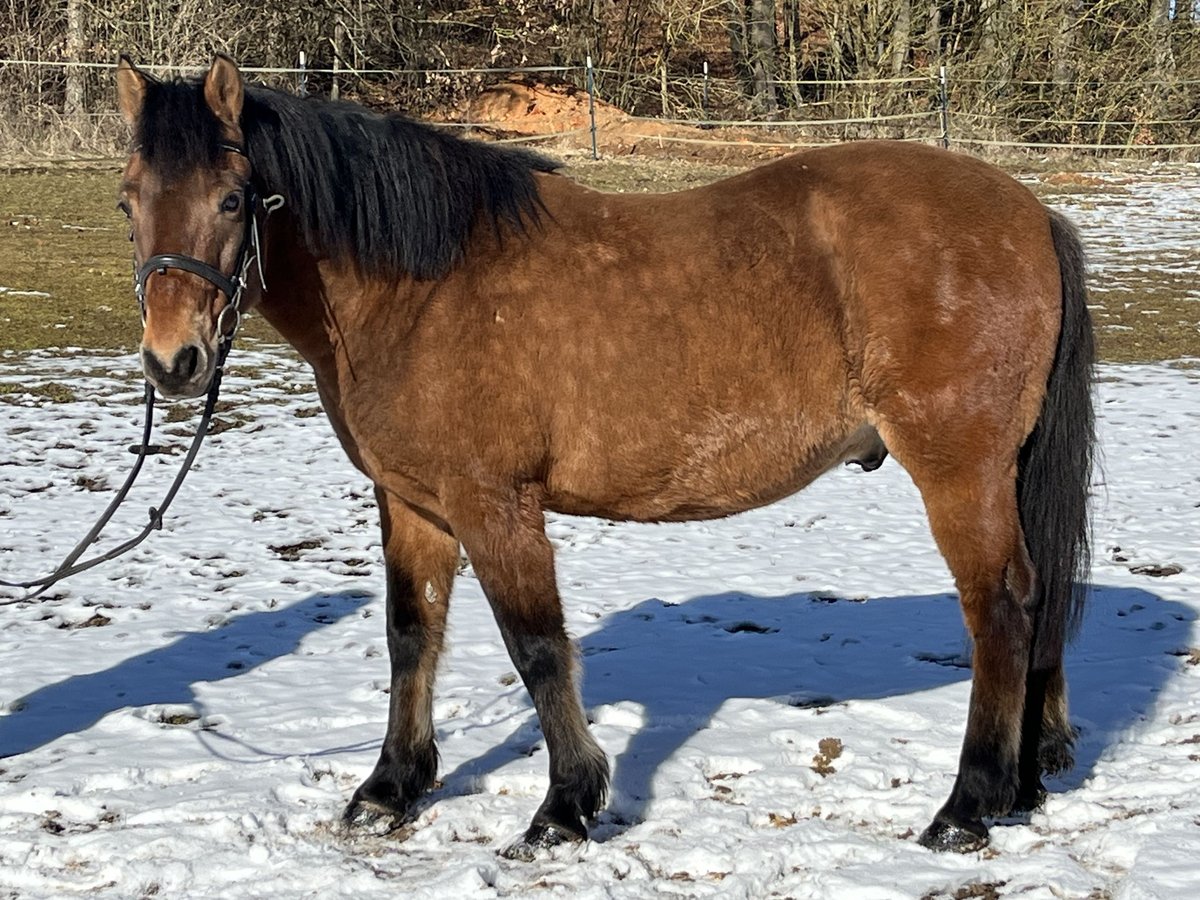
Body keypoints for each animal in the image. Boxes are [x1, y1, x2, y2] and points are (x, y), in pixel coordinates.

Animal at [114, 58, 1099, 859]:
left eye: (233, 199)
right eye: (129, 199)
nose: (173, 363)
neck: (419, 289)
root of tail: (1030, 212)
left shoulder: (494, 504)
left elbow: (538, 649)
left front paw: (563, 808)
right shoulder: (414, 503)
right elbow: (409, 636)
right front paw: (392, 789)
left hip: (959, 470)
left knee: (1001, 607)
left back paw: (966, 808)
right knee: (1036, 598)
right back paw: (1017, 786)